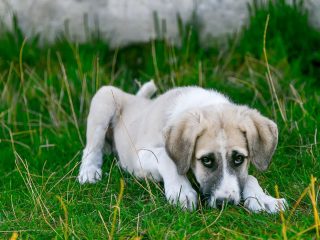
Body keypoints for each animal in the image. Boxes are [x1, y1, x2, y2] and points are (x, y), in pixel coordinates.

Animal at [78, 81, 288, 213]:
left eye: (238, 159)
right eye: (206, 160)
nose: (226, 203)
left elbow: (250, 177)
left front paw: (264, 199)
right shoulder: (140, 156)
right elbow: (166, 158)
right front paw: (181, 191)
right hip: (105, 97)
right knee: (91, 148)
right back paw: (89, 172)